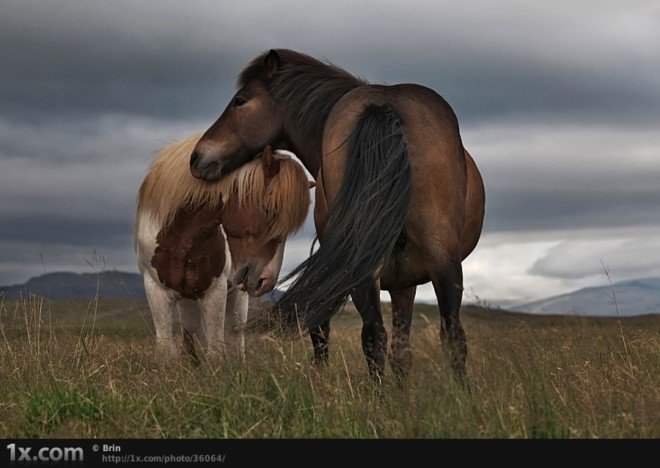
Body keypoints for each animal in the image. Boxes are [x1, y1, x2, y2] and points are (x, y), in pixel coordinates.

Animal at [135, 136, 310, 362]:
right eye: (271, 210)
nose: (266, 281)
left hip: (235, 295)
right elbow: (167, 349)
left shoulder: (215, 291)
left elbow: (216, 350)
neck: (180, 240)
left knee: (235, 336)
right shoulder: (156, 290)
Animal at [191, 49, 484, 380]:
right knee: (444, 336)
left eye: (240, 101)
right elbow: (400, 352)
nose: (196, 157)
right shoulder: (402, 284)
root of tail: (385, 105)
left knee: (377, 336)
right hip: (436, 259)